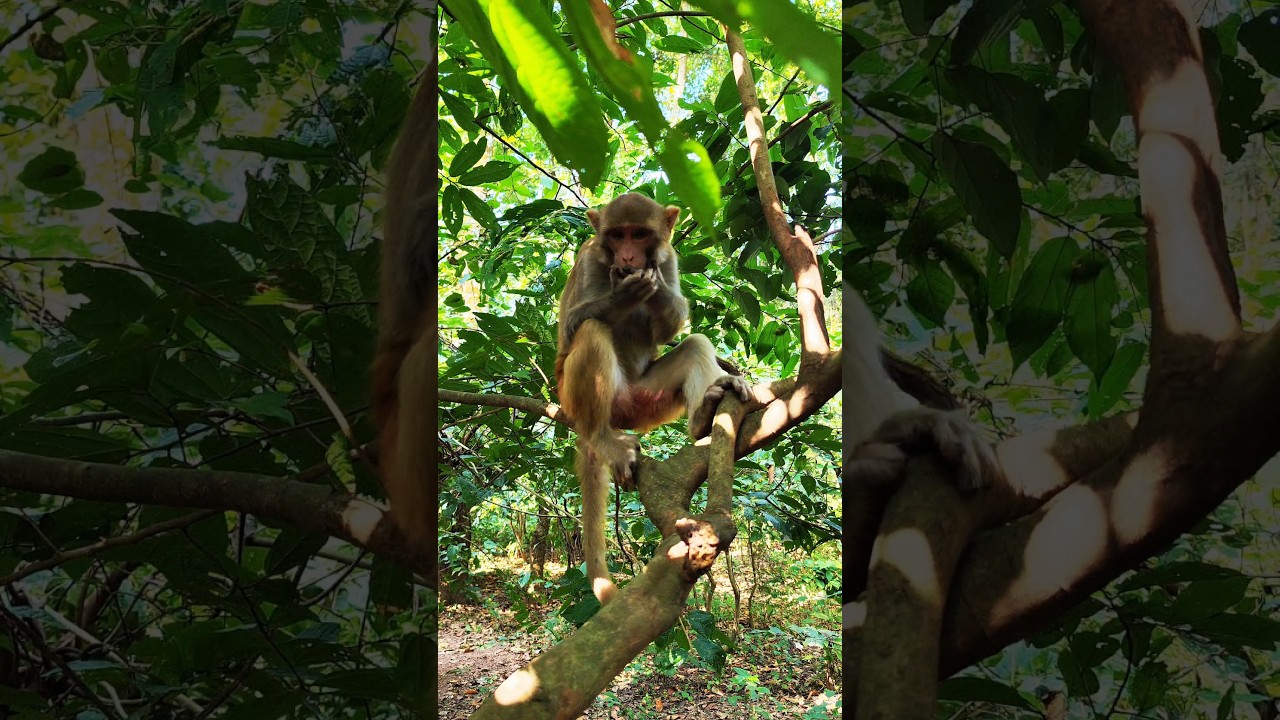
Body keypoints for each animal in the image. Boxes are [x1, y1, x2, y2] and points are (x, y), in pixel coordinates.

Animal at [555, 192, 752, 605]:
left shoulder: (670, 257)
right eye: (617, 235)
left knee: (694, 344)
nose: (628, 257)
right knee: (591, 330)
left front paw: (656, 286)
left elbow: (670, 328)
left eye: (640, 234)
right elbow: (569, 329)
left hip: (646, 402)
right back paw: (601, 437)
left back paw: (704, 414)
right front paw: (620, 295)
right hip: (576, 395)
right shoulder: (588, 259)